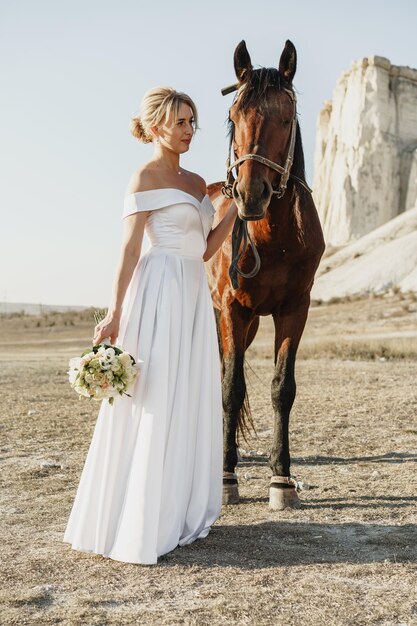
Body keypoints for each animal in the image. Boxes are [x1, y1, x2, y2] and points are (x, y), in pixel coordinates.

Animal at [206, 39, 324, 508]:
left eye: (286, 117)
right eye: (233, 115)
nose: (250, 194)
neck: (273, 238)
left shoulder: (294, 310)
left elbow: (282, 388)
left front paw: (281, 478)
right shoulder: (231, 311)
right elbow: (229, 388)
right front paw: (226, 476)